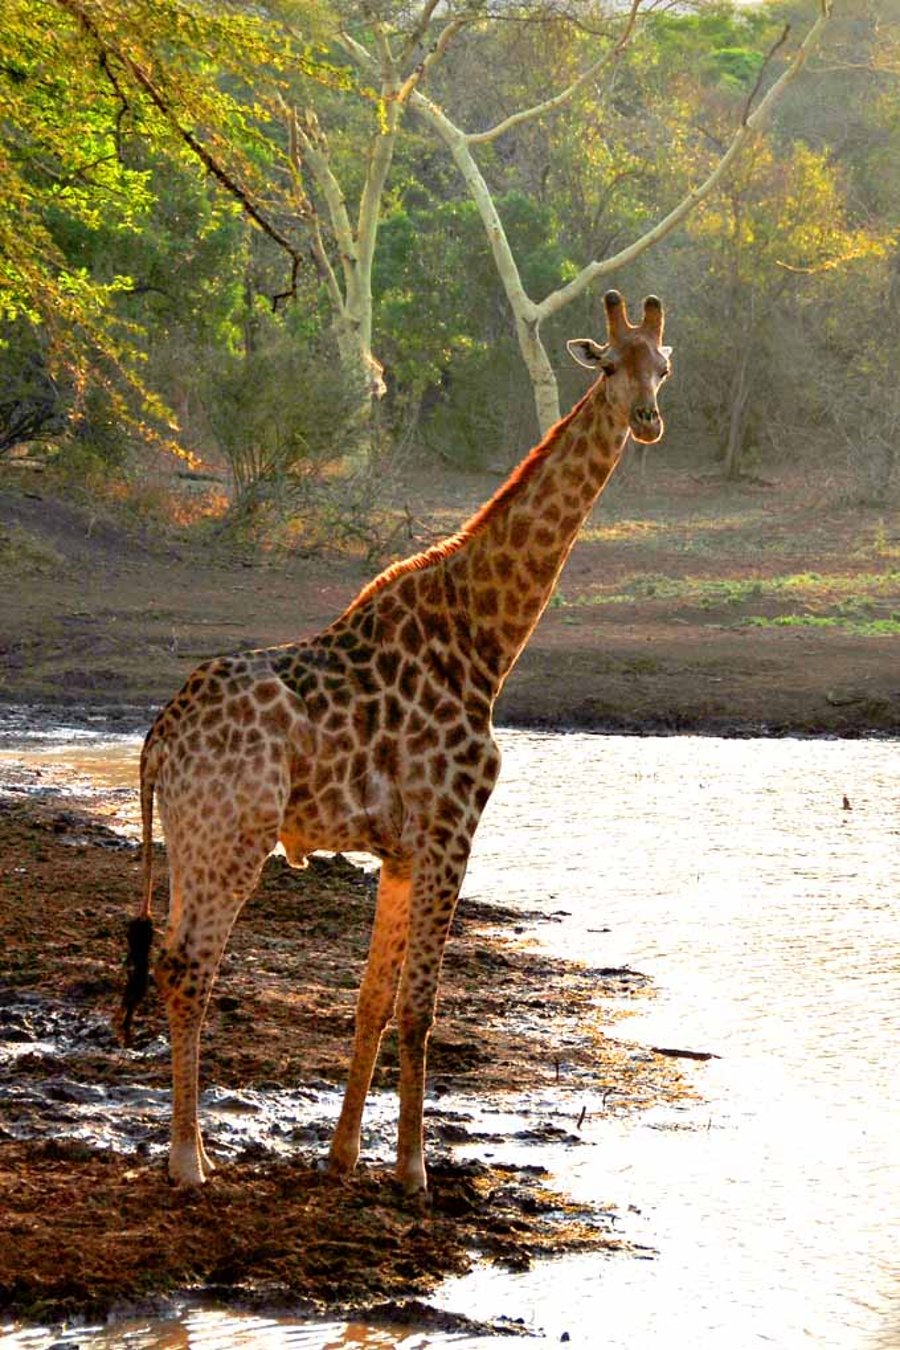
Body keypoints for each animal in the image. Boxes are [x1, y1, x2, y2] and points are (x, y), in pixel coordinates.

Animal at [121, 289, 672, 1193]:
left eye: (662, 365)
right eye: (611, 365)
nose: (650, 419)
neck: (487, 636)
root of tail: (159, 737)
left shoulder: (404, 850)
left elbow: (373, 1003)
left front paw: (344, 1157)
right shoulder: (452, 831)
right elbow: (421, 1008)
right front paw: (414, 1170)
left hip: (188, 836)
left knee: (172, 960)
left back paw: (197, 1148)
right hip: (232, 835)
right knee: (188, 966)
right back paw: (188, 1161)